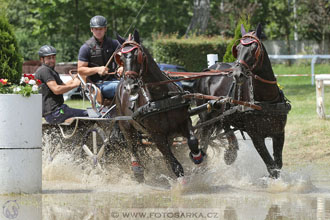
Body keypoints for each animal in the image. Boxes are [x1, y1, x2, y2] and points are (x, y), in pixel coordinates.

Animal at [114, 30, 205, 182]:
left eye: (138, 55)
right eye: (120, 57)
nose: (130, 87)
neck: (161, 97)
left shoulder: (183, 121)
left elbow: (192, 141)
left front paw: (197, 156)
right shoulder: (156, 135)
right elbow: (175, 164)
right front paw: (181, 182)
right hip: (126, 126)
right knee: (132, 145)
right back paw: (137, 169)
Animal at [195, 24, 290, 178]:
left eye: (254, 48)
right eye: (238, 48)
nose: (237, 74)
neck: (266, 101)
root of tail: (208, 69)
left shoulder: (279, 133)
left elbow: (278, 164)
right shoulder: (256, 136)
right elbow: (271, 166)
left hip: (224, 111)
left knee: (225, 123)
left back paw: (231, 152)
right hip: (206, 119)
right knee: (203, 142)